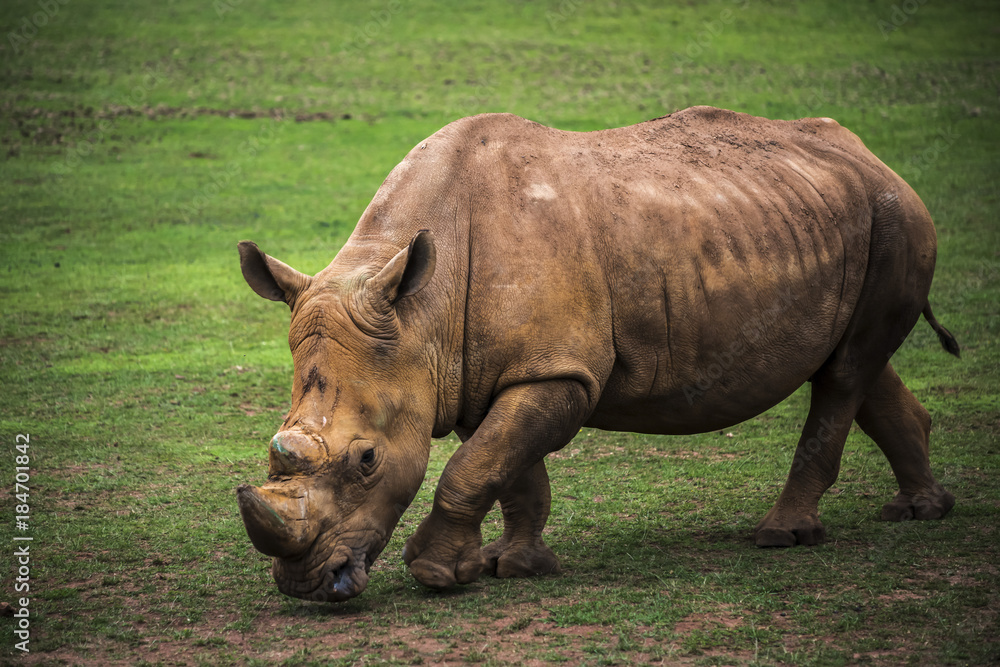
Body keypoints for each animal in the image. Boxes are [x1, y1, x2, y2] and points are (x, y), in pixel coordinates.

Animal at [236, 107, 959, 602]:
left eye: (366, 461)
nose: (304, 583)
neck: (421, 312)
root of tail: (872, 157)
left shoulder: (557, 371)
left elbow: (473, 467)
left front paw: (437, 574)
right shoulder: (471, 371)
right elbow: (507, 469)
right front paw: (510, 566)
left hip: (894, 216)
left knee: (844, 373)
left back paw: (783, 535)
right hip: (844, 219)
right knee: (856, 366)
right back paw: (921, 511)